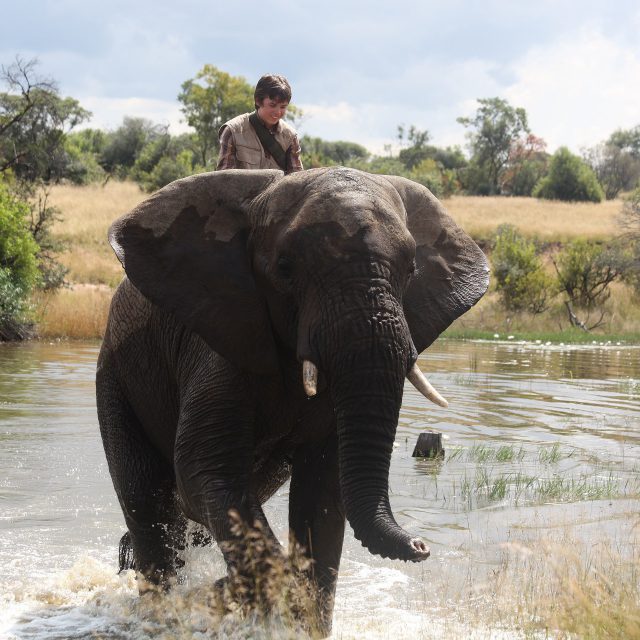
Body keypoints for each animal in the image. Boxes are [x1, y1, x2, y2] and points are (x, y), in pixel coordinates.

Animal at [95, 166, 488, 636]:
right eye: (284, 268)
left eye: (411, 269)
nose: (421, 545)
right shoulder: (219, 339)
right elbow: (203, 470)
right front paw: (245, 598)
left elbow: (322, 491)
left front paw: (293, 616)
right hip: (115, 378)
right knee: (147, 500)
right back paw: (162, 609)